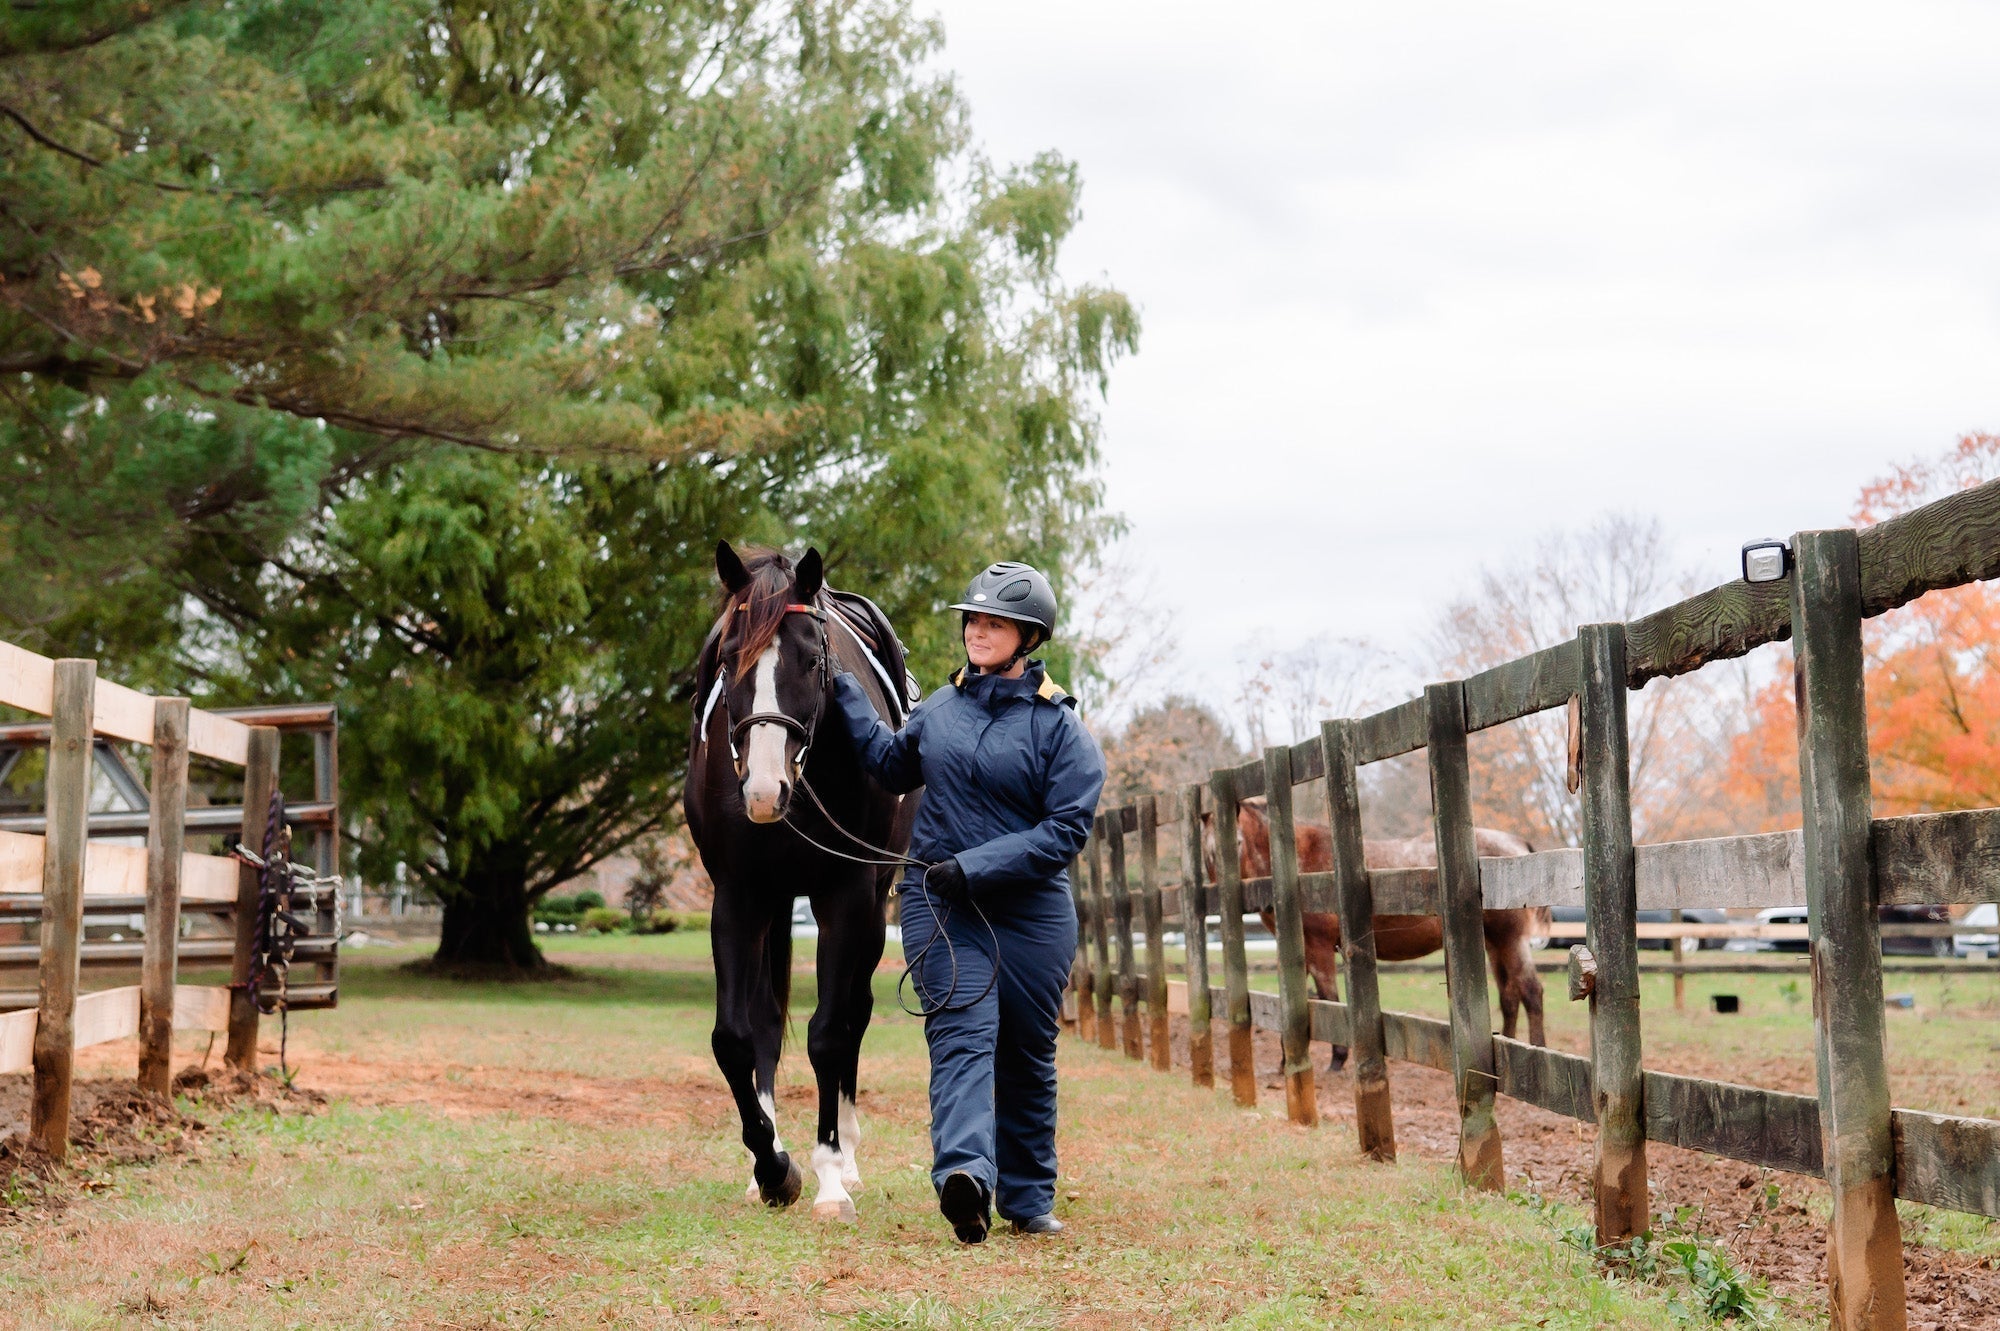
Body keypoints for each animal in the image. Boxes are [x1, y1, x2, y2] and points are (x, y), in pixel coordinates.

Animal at [684, 535, 912, 1215]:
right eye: (727, 659)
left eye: (812, 661)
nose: (763, 790)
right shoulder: (738, 896)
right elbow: (736, 1037)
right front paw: (772, 1166)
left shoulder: (846, 897)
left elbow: (830, 1033)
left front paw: (830, 1174)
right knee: (764, 1020)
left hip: (875, 904)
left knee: (856, 1013)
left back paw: (849, 1158)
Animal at [1200, 799, 1544, 1071]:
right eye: (1208, 853)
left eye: (1238, 843)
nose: (1218, 899)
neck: (1301, 865)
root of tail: (1517, 844)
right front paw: (1289, 1059)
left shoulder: (1319, 947)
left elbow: (1329, 998)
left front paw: (1338, 1058)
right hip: (1494, 944)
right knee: (1510, 996)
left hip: (1510, 941)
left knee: (1531, 991)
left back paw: (1538, 1051)